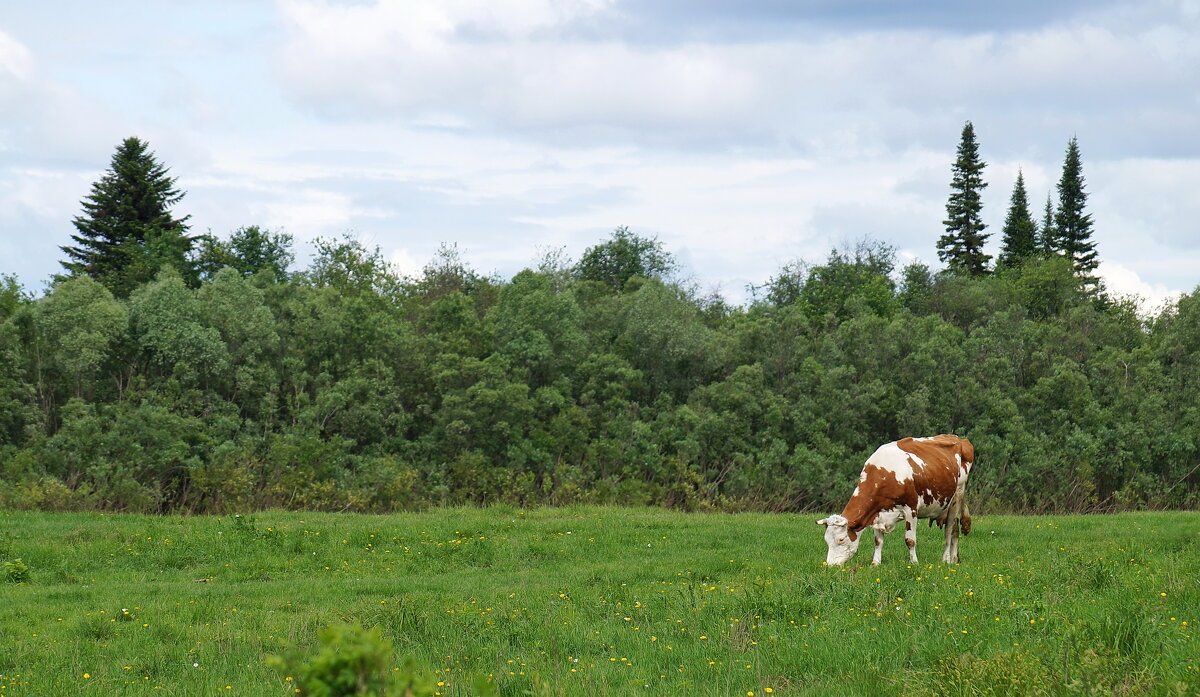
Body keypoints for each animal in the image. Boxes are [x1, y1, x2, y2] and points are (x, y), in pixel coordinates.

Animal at [816, 434, 974, 566]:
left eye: (841, 539)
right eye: (826, 540)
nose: (830, 565)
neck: (885, 475)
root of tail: (959, 439)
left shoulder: (911, 509)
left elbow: (910, 540)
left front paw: (914, 563)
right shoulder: (877, 513)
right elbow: (878, 541)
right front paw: (875, 563)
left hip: (957, 496)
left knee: (948, 531)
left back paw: (945, 559)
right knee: (955, 529)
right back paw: (954, 559)